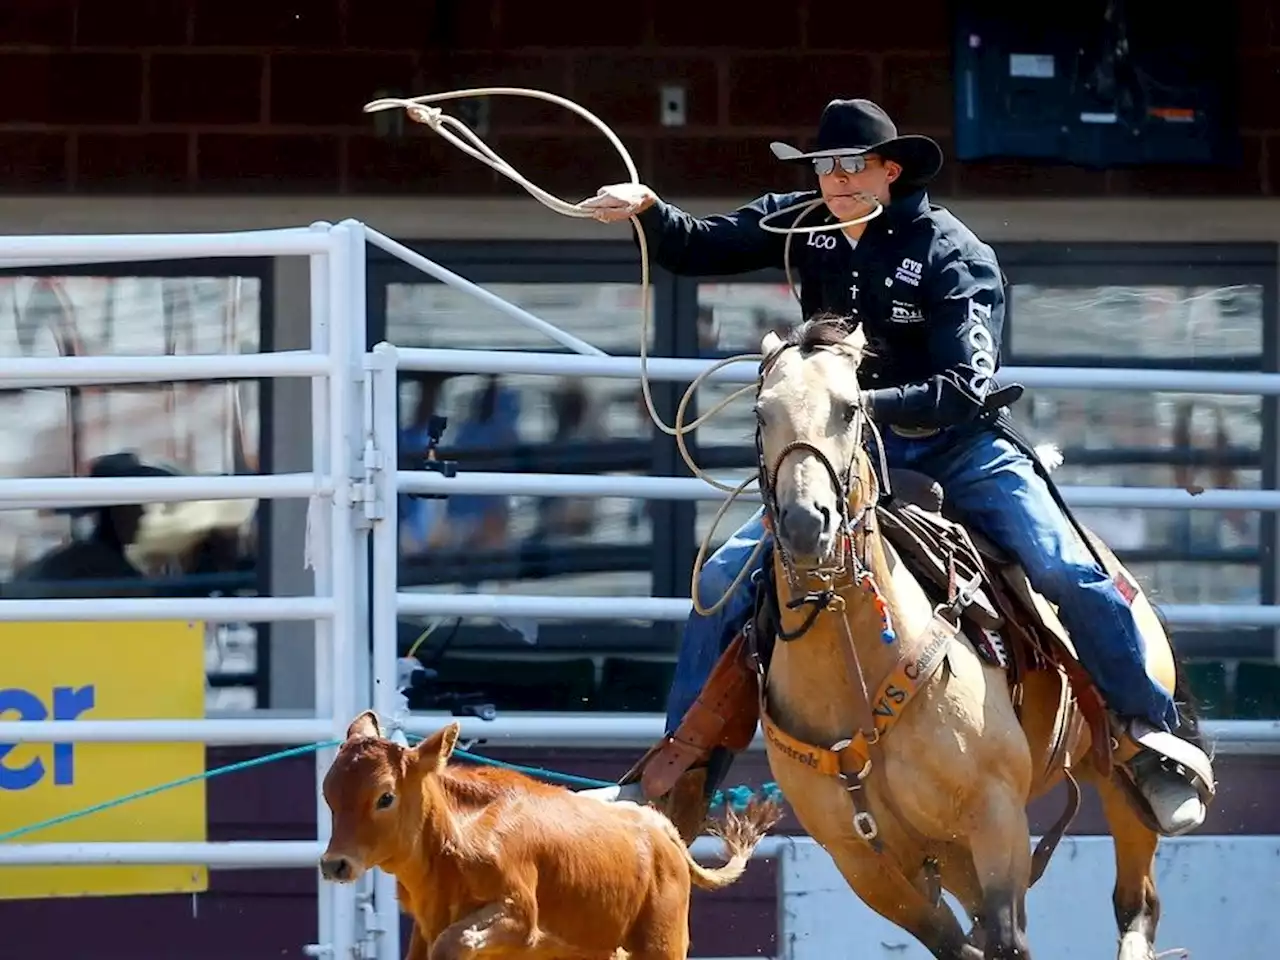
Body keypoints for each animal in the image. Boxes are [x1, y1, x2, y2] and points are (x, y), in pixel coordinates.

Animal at [320, 711, 778, 960]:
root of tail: (658, 827)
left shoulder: (518, 916)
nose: (334, 864)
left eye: (385, 797)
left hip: (662, 943)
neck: (456, 841)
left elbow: (454, 942)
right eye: (328, 794)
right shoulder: (425, 925)